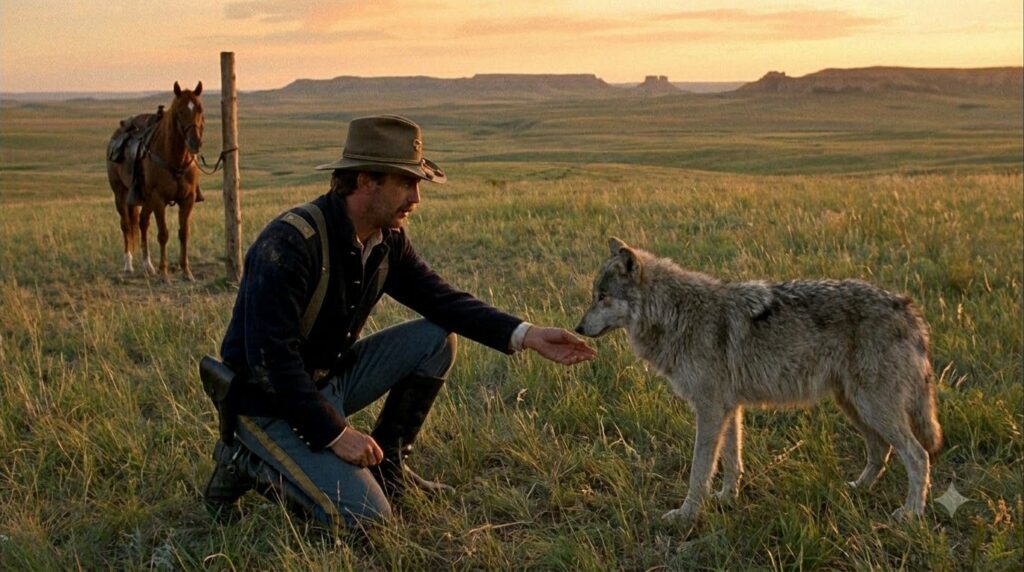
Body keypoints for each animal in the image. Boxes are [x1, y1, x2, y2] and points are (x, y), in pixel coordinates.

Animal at [107, 81, 205, 281]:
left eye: (200, 109)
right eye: (179, 111)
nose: (195, 143)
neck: (175, 159)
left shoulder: (188, 199)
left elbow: (184, 233)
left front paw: (186, 271)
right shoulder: (159, 199)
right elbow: (163, 234)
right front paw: (164, 272)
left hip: (146, 200)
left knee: (142, 222)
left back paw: (148, 265)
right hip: (121, 195)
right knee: (126, 225)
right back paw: (128, 265)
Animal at [575, 237, 942, 526]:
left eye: (602, 297)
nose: (578, 328)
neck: (674, 313)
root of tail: (909, 309)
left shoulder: (710, 410)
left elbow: (699, 470)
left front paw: (687, 515)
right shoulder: (729, 408)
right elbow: (731, 462)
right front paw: (727, 499)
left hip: (873, 408)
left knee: (918, 455)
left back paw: (911, 513)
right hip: (856, 407)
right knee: (881, 450)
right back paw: (858, 489)